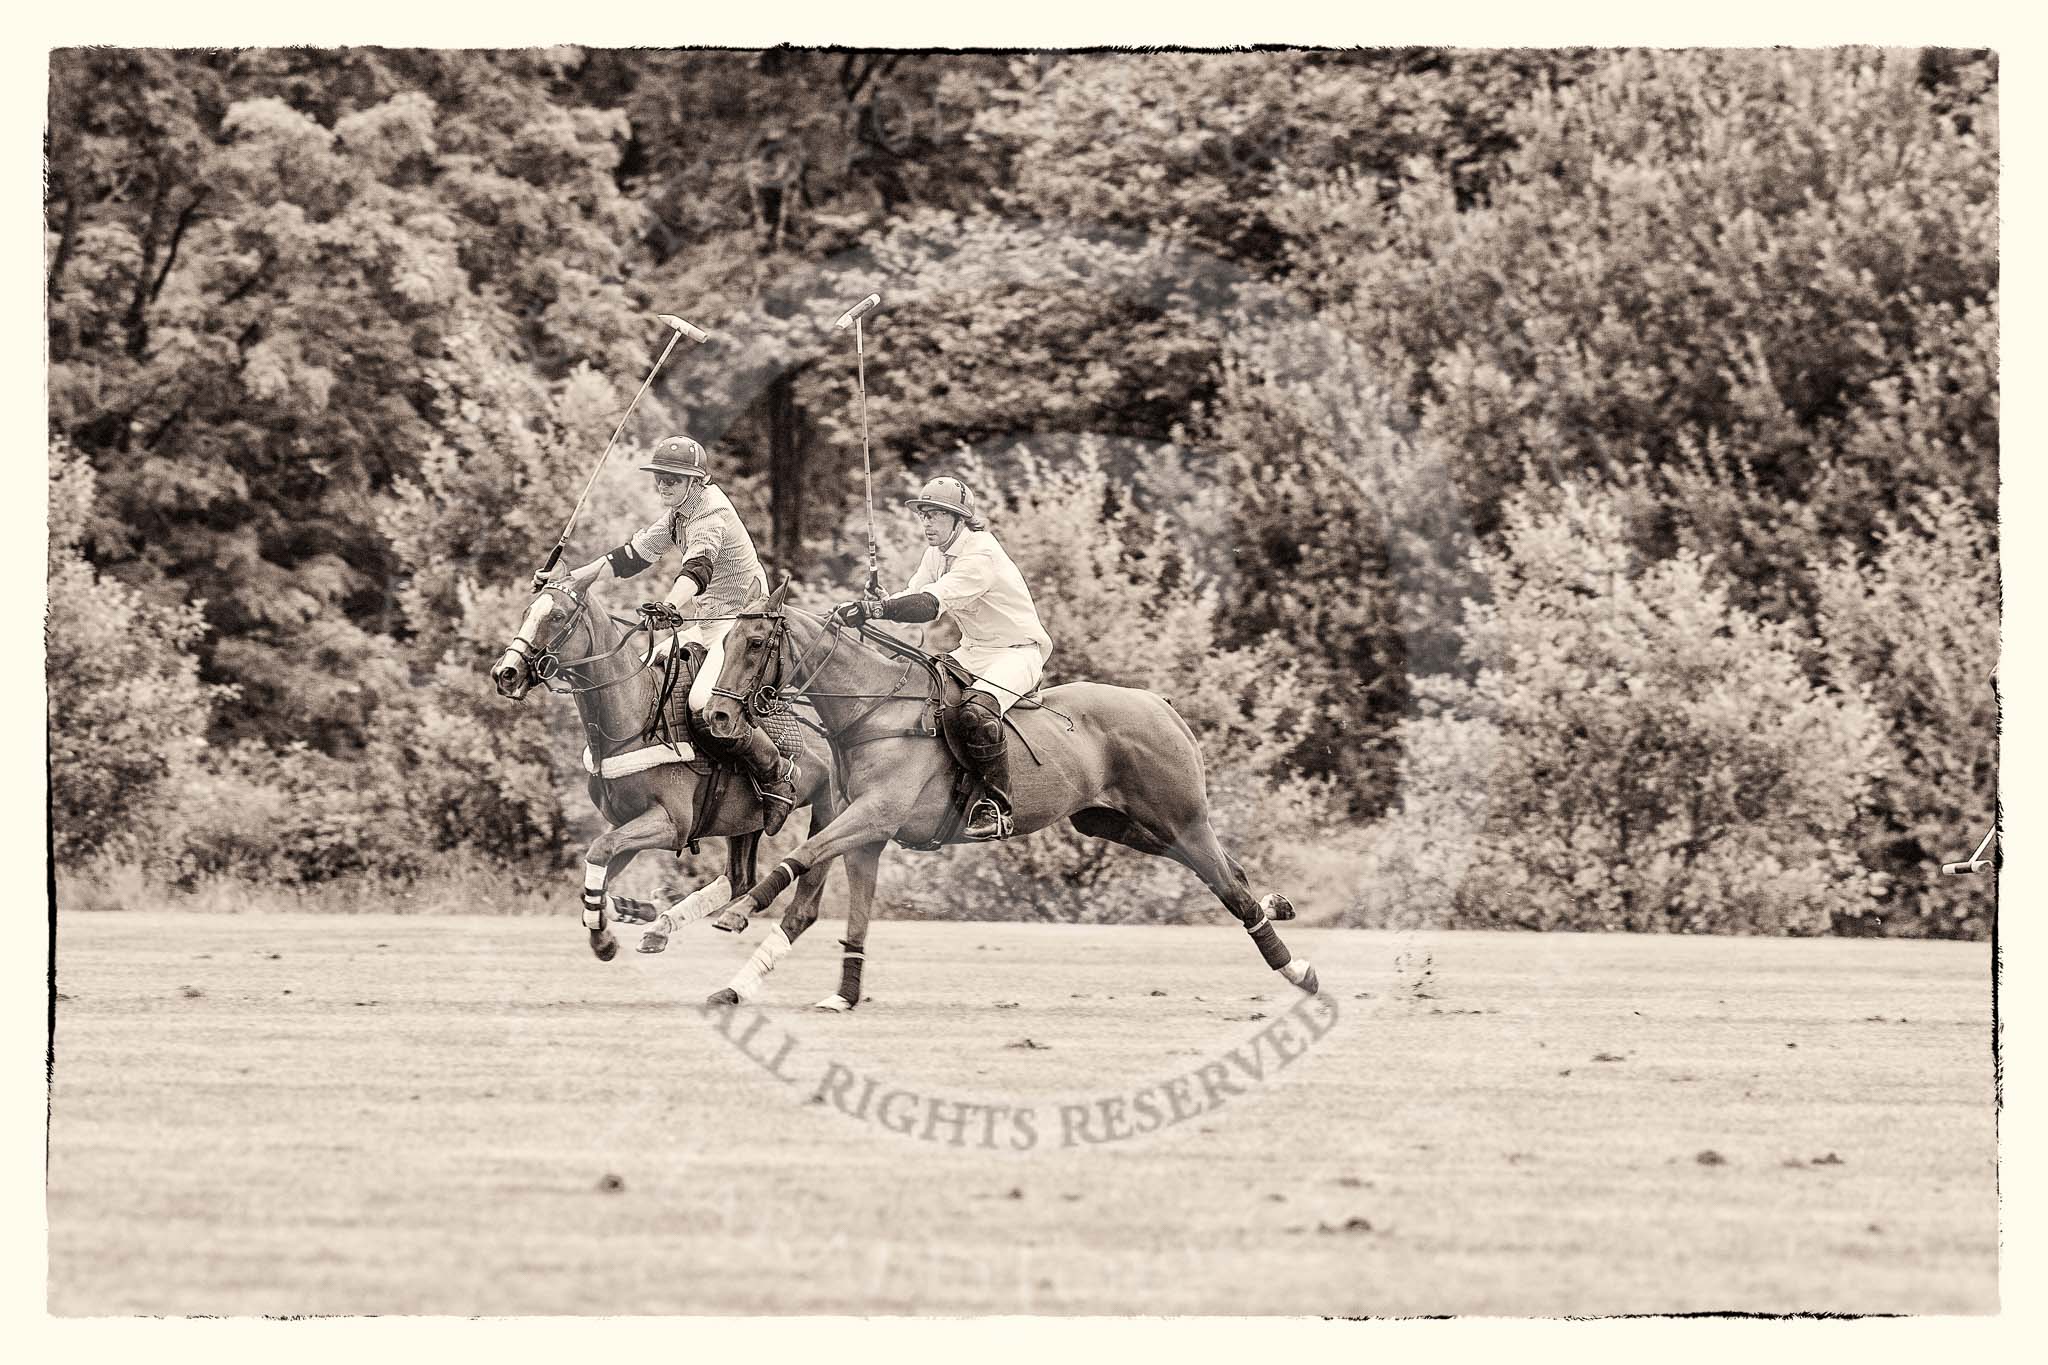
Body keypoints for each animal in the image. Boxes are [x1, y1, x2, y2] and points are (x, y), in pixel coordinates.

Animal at [489, 585, 839, 961]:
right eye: (527, 611)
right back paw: (664, 926)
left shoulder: (672, 824)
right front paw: (630, 914)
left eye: (556, 616)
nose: (505, 673)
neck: (635, 715)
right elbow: (597, 871)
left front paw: (605, 939)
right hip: (747, 821)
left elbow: (598, 850)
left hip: (829, 807)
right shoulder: (625, 821)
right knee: (738, 879)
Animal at [688, 581, 1318, 1010]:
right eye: (725, 638)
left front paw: (738, 913)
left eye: (755, 642)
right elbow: (826, 911)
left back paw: (1297, 970)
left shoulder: (873, 817)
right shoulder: (863, 833)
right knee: (1226, 872)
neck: (873, 714)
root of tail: (1161, 705)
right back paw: (1277, 908)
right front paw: (816, 992)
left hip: (1181, 816)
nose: (716, 716)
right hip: (1113, 822)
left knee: (1228, 887)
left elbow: (798, 863)